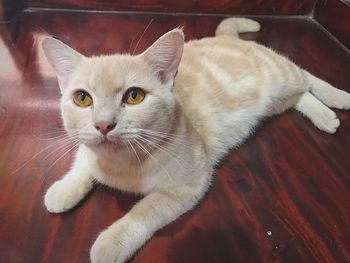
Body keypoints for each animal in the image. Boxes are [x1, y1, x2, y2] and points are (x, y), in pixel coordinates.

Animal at [41, 17, 350, 262]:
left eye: (134, 96)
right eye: (82, 98)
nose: (104, 124)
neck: (119, 164)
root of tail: (225, 37)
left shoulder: (189, 185)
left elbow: (145, 211)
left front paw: (112, 241)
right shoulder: (87, 149)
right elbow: (82, 161)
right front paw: (64, 189)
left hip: (283, 76)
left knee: (307, 77)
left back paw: (336, 99)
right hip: (276, 102)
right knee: (300, 96)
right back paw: (324, 115)